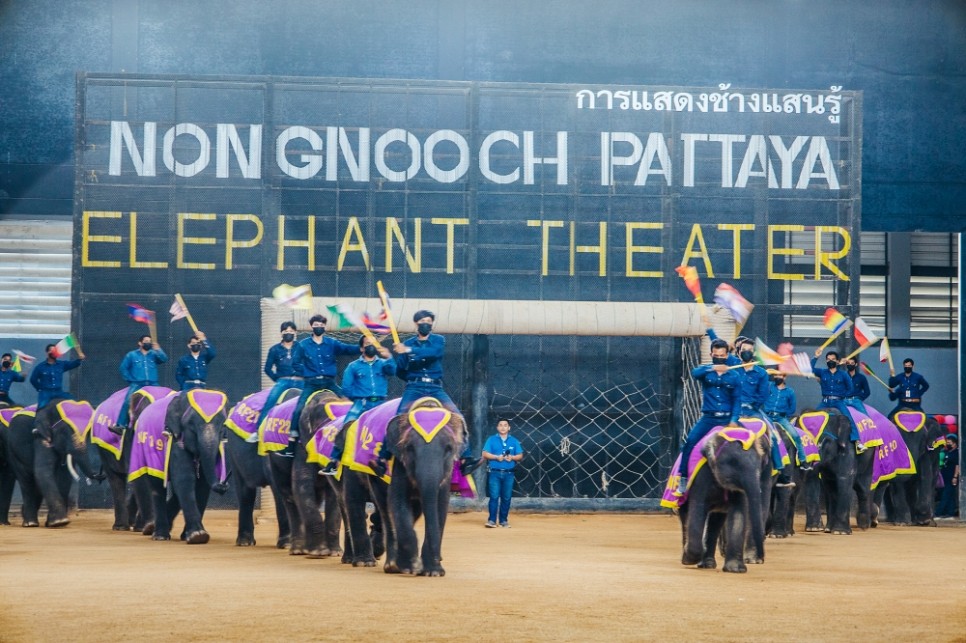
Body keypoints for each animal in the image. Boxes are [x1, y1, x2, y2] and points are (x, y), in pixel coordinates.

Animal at [91, 388, 176, 532]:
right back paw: (121, 527)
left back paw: (133, 524)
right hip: (102, 447)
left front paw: (145, 527)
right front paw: (149, 526)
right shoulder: (131, 436)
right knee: (115, 478)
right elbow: (140, 475)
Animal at [129, 390, 229, 544]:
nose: (223, 486)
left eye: (223, 426)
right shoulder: (175, 437)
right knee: (157, 487)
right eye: (191, 425)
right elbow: (184, 478)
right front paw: (198, 536)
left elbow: (202, 484)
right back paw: (159, 535)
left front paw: (189, 535)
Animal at [676, 428, 776, 572]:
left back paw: (708, 564)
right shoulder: (702, 477)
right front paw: (690, 559)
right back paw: (689, 559)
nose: (761, 559)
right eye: (733, 463)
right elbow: (698, 509)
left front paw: (736, 569)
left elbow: (739, 513)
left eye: (761, 463)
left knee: (715, 522)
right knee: (686, 516)